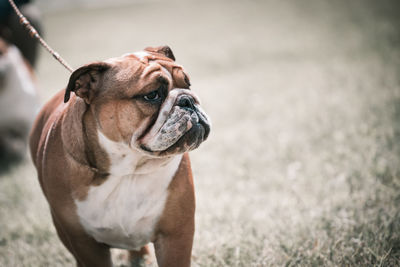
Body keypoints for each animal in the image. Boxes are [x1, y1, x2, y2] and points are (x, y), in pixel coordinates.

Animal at [29, 46, 211, 267]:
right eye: (152, 95)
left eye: (188, 84)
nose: (187, 100)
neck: (127, 169)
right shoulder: (84, 243)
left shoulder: (175, 235)